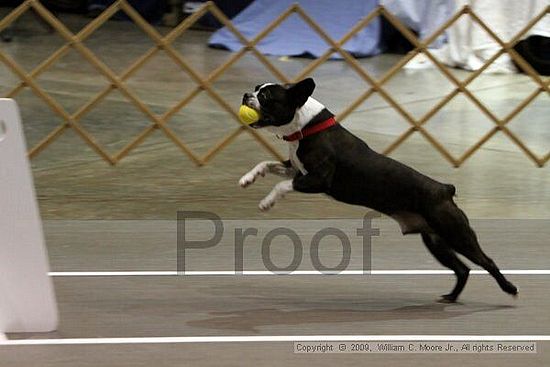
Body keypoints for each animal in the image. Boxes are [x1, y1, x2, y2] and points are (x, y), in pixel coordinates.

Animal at [239, 78, 520, 304]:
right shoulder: (295, 170)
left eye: (266, 97)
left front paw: (267, 202)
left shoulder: (317, 180)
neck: (306, 126)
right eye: (256, 88)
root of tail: (444, 189)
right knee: (462, 269)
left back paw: (509, 288)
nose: (246, 95)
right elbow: (266, 164)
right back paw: (451, 297)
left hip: (456, 233)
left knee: (486, 261)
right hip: (435, 240)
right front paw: (247, 178)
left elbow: (282, 185)